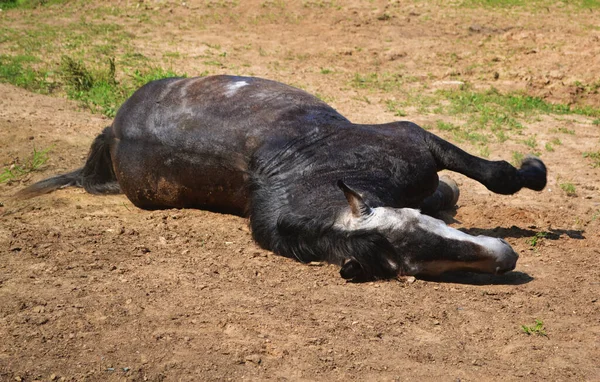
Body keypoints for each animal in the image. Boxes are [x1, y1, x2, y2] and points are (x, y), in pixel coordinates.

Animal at [16, 76, 548, 282]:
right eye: (415, 266)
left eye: (416, 225)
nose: (507, 258)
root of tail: (113, 131)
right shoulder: (413, 143)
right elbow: (488, 179)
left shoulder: (418, 141)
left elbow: (494, 178)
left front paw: (534, 172)